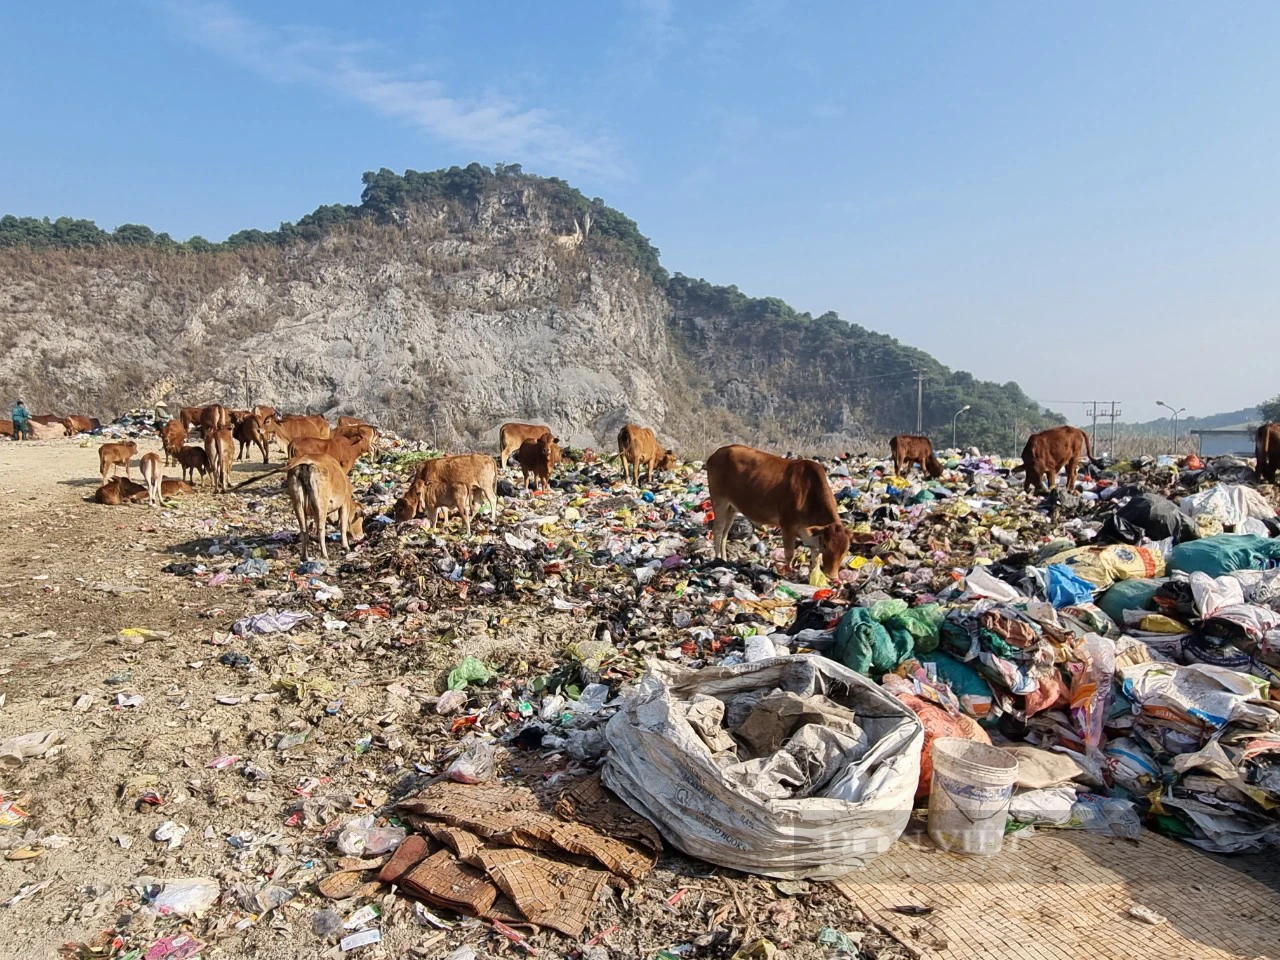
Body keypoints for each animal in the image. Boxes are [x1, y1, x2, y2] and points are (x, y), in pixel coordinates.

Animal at [706, 442, 855, 578]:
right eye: (825, 546)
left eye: (846, 550)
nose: (832, 576)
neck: (810, 494)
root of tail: (716, 454)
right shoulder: (787, 527)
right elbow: (789, 554)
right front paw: (787, 573)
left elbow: (814, 559)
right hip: (719, 501)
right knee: (718, 530)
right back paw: (717, 558)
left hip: (731, 508)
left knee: (725, 533)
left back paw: (724, 559)